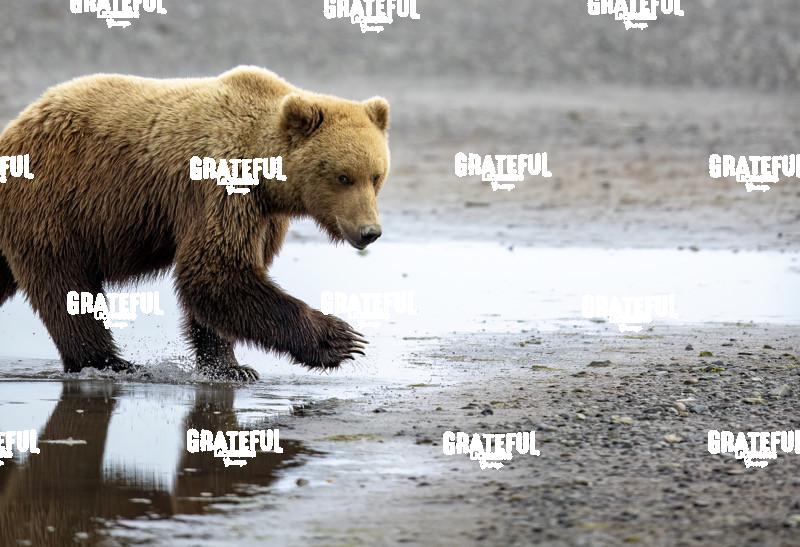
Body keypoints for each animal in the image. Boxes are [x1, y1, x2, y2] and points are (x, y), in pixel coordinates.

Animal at [0, 66, 390, 381]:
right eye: (343, 177)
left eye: (375, 176)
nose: (369, 232)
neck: (266, 176)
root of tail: (15, 127)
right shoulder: (223, 189)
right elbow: (214, 271)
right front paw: (341, 339)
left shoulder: (264, 217)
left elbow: (222, 283)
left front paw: (231, 367)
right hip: (57, 203)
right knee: (67, 287)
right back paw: (110, 363)